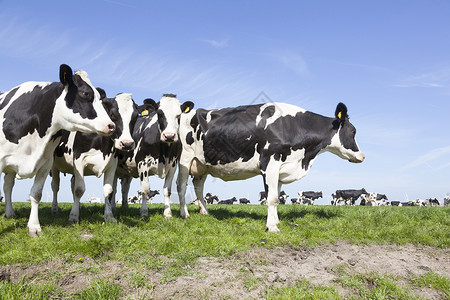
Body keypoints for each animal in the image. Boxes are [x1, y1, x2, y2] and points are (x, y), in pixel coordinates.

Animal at [0, 64, 114, 236]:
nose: (111, 125)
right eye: (85, 93)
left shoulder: (45, 163)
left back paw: (10, 212)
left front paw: (34, 226)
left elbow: (36, 194)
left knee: (8, 186)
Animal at [51, 92, 139, 224]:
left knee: (71, 183)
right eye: (112, 114)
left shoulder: (112, 164)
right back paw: (55, 209)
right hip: (54, 165)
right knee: (55, 186)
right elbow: (79, 189)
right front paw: (73, 217)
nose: (127, 143)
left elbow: (108, 190)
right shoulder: (79, 161)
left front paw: (109, 216)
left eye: (135, 116)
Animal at [178, 101, 364, 232]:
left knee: (198, 187)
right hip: (184, 160)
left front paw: (275, 221)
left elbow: (275, 197)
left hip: (202, 165)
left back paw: (205, 212)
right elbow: (272, 198)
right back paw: (184, 214)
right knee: (181, 186)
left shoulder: (281, 169)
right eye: (353, 132)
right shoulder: (270, 163)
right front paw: (272, 227)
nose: (362, 156)